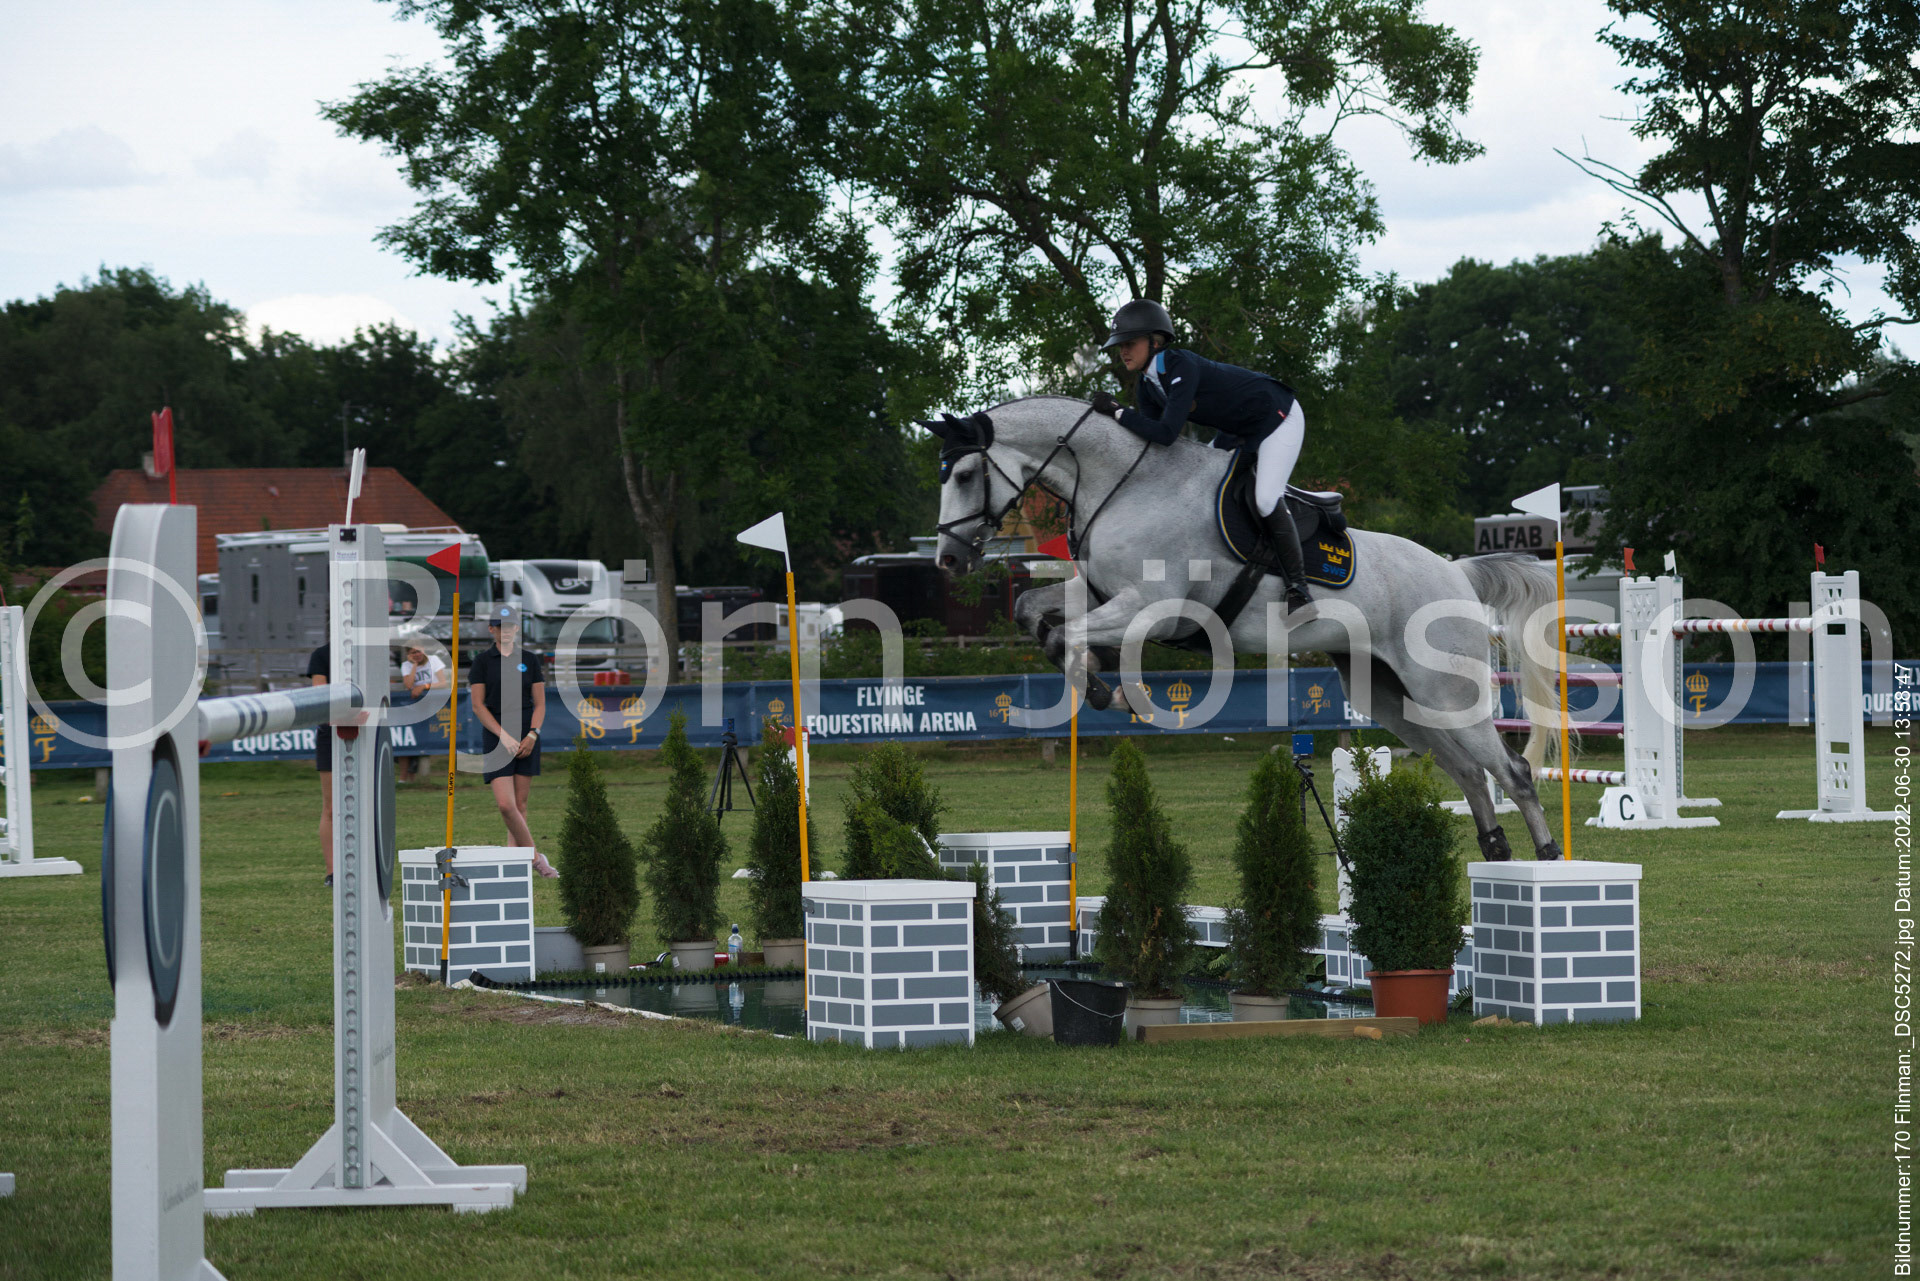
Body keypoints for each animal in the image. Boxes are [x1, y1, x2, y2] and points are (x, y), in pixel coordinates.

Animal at [923, 394, 1567, 862]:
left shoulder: (1152, 605)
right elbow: (1032, 611)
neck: (1122, 484)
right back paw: (1495, 854)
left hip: (1446, 690)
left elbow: (1070, 634)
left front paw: (1111, 689)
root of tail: (1456, 571)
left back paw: (1546, 861)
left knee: (1512, 772)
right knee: (1469, 771)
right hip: (1388, 694)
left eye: (963, 473)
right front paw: (1100, 678)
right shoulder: (1103, 592)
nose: (948, 560)